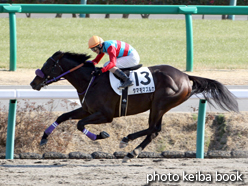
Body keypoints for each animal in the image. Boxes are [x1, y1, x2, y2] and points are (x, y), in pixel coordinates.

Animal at [30, 51, 238, 162]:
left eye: (48, 65)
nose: (33, 83)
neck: (91, 80)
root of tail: (186, 76)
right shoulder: (87, 110)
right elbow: (62, 116)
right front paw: (44, 138)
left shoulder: (105, 115)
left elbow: (80, 125)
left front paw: (101, 135)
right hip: (160, 107)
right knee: (154, 131)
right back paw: (132, 151)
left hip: (159, 104)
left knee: (153, 129)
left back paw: (127, 141)